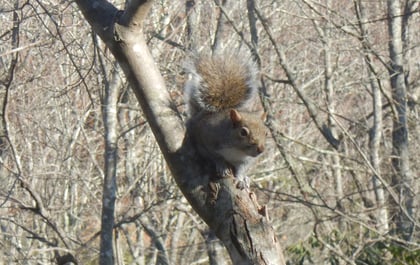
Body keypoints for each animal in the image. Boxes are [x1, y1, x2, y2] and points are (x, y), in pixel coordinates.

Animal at [183, 52, 266, 187]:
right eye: (243, 132)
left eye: (266, 133)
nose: (261, 149)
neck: (237, 149)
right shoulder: (207, 138)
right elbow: (214, 156)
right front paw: (222, 165)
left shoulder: (246, 160)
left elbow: (241, 168)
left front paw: (241, 179)